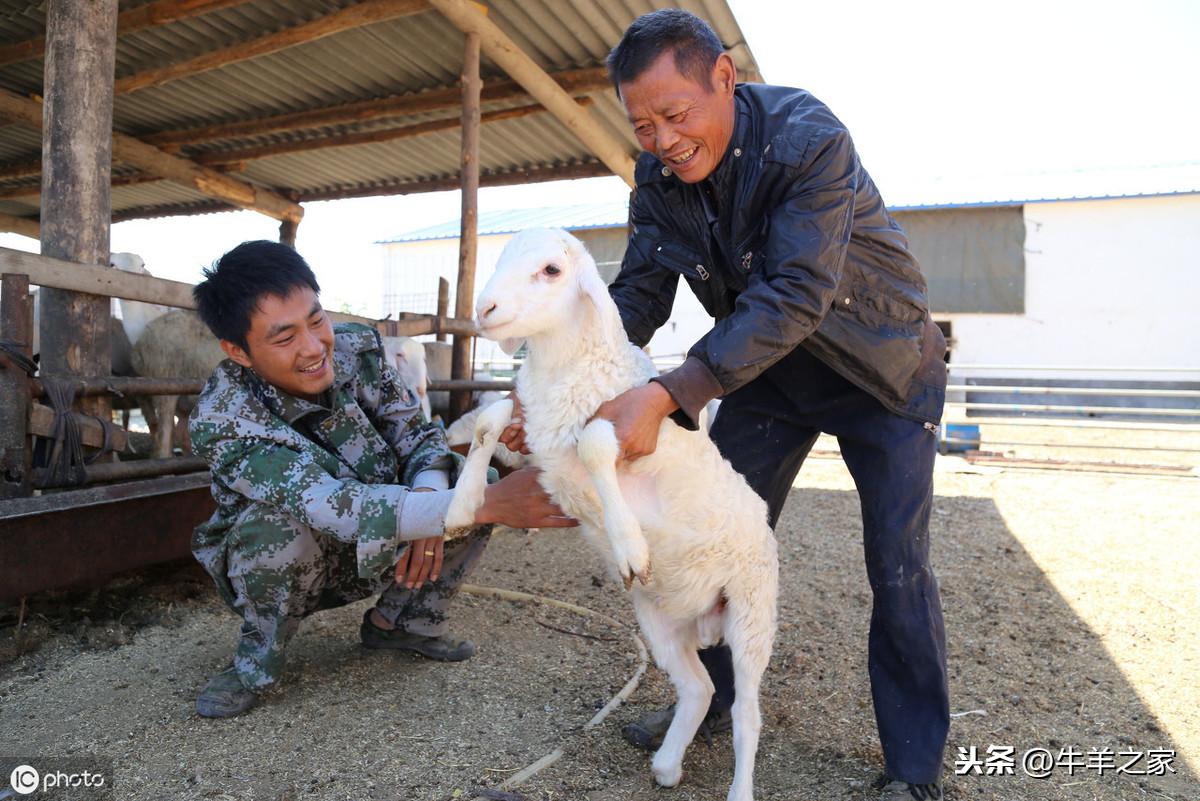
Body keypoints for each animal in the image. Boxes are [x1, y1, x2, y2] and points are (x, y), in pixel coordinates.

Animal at [444, 225, 777, 801]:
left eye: (552, 270)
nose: (484, 309)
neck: (567, 372)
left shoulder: (629, 429)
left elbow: (597, 439)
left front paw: (629, 546)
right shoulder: (530, 418)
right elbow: (490, 416)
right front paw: (462, 506)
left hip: (752, 613)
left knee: (746, 715)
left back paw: (738, 790)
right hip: (658, 619)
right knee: (698, 687)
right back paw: (666, 764)